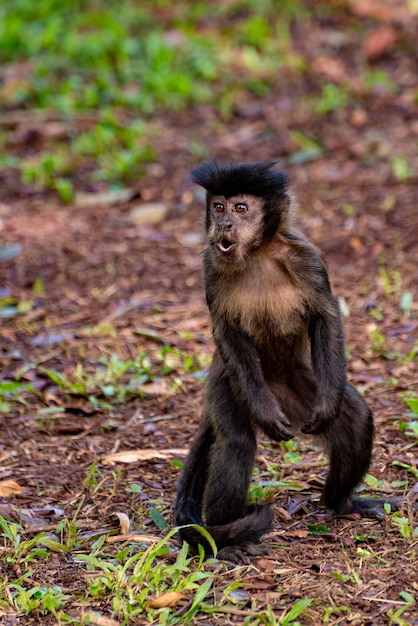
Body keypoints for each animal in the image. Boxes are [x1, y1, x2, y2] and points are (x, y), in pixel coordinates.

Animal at [173, 160, 412, 560]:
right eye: (219, 206)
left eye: (241, 208)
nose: (223, 225)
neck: (257, 253)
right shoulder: (210, 262)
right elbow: (226, 331)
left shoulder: (306, 258)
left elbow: (326, 317)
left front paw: (330, 405)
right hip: (228, 382)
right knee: (236, 443)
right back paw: (226, 537)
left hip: (300, 386)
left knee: (355, 420)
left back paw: (342, 505)